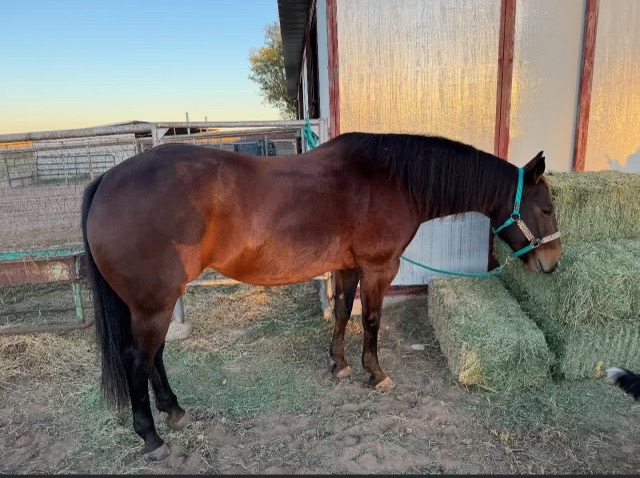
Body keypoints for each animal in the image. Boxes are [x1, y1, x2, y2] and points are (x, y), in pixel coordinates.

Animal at [81, 132, 562, 460]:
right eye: (546, 208)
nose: (553, 263)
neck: (393, 180)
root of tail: (107, 179)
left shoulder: (347, 266)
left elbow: (343, 313)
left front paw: (340, 364)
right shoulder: (379, 267)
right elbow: (371, 320)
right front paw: (376, 373)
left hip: (155, 302)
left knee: (155, 356)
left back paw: (174, 410)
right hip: (154, 303)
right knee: (139, 358)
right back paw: (151, 436)